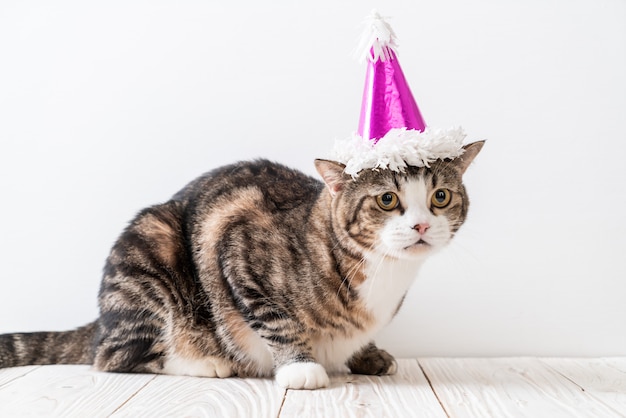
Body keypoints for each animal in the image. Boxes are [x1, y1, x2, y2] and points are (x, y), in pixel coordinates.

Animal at [0, 140, 482, 388]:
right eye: (387, 200)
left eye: (441, 197)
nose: (421, 225)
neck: (380, 272)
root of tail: (100, 319)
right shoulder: (237, 249)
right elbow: (276, 319)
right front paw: (301, 367)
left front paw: (367, 354)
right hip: (150, 246)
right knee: (112, 357)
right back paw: (201, 362)